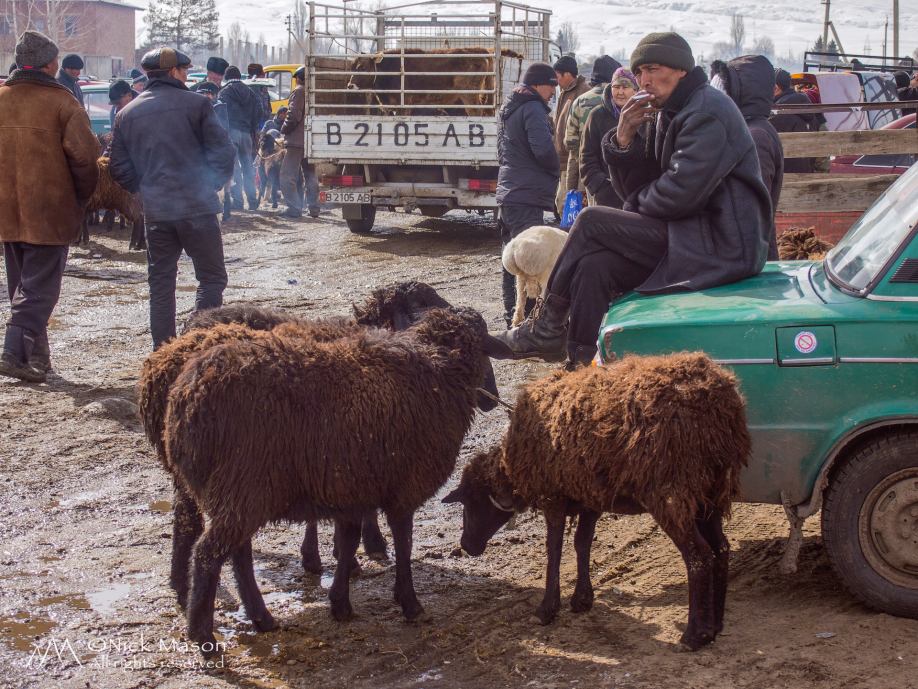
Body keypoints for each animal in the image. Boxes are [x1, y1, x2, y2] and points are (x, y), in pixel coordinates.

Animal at [346, 47, 523, 116]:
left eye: (362, 67)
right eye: (352, 67)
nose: (350, 85)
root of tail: (483, 50)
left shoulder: (405, 105)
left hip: (469, 95)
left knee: (476, 112)